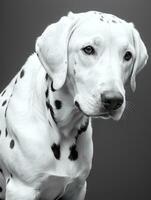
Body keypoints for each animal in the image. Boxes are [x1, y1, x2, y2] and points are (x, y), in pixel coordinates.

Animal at [0, 11, 149, 200]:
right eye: (88, 49)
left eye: (128, 55)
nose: (114, 100)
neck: (64, 129)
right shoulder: (22, 189)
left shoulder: (77, 188)